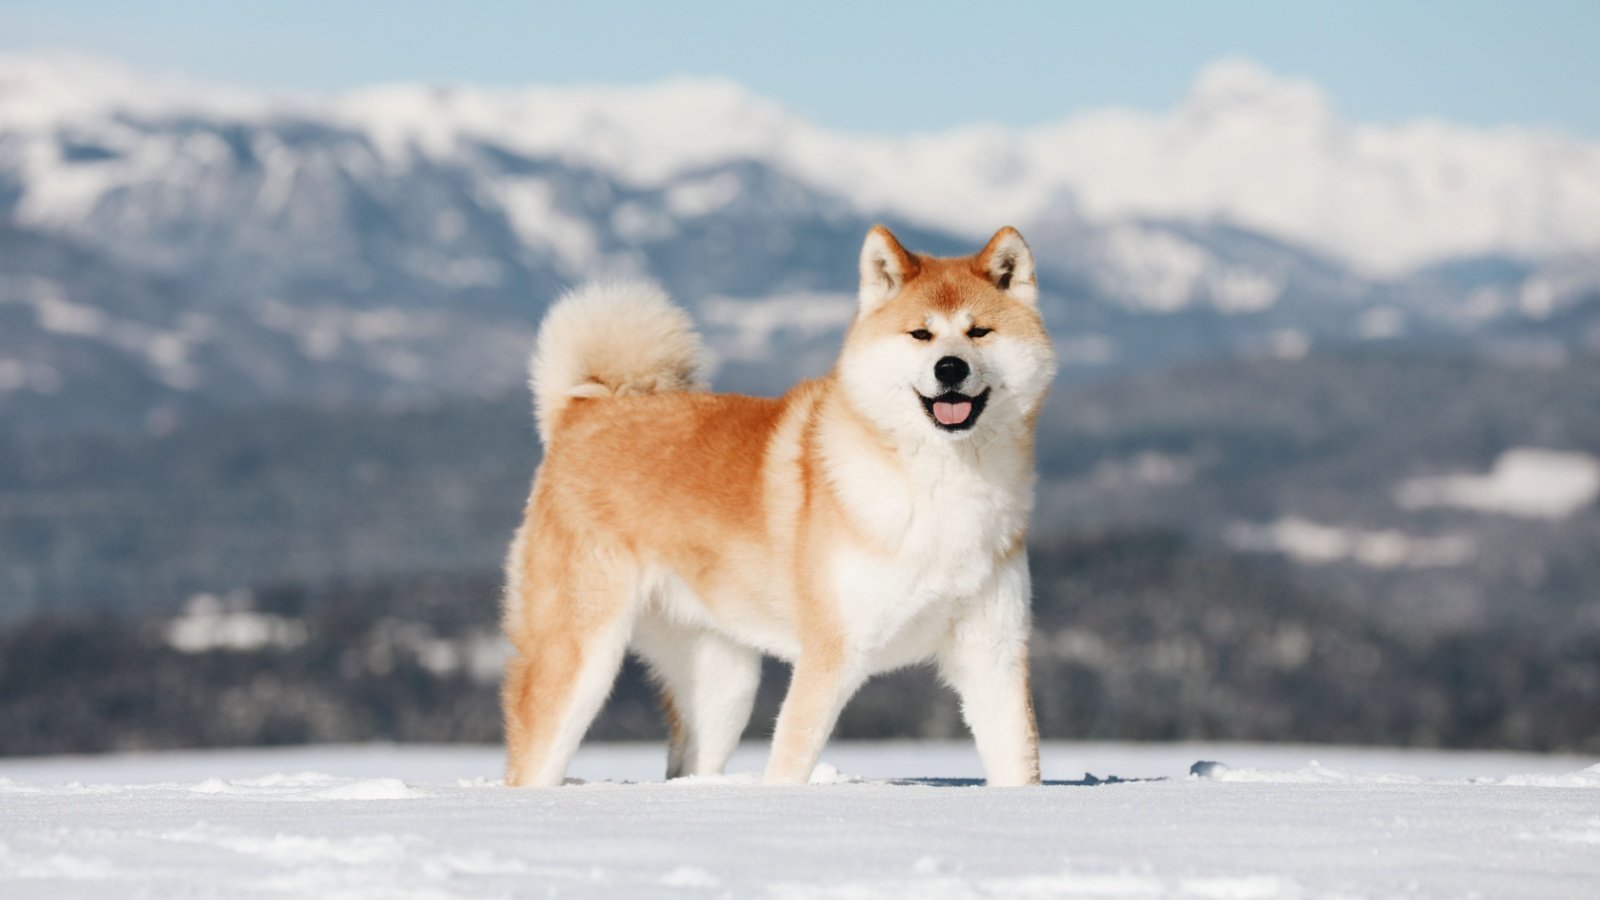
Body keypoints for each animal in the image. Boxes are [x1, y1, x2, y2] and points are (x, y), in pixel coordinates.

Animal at [496, 225, 1049, 784]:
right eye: (920, 334)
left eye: (979, 332)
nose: (950, 368)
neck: (942, 485)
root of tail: (583, 411)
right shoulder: (830, 655)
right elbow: (791, 761)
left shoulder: (993, 655)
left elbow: (1018, 763)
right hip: (580, 661)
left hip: (723, 688)